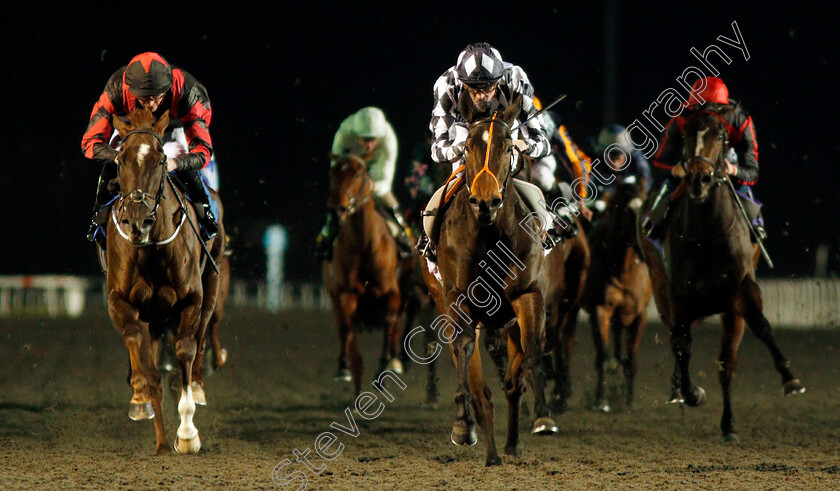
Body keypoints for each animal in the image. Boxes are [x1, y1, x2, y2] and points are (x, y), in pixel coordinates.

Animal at [102, 109, 225, 456]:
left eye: (159, 160)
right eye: (120, 160)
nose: (137, 221)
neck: (152, 247)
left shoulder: (191, 299)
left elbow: (185, 349)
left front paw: (186, 434)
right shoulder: (120, 301)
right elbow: (139, 349)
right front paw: (157, 432)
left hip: (212, 283)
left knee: (201, 335)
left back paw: (197, 384)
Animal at [322, 156, 414, 398]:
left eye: (357, 174)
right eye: (332, 172)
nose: (337, 209)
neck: (364, 244)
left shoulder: (392, 293)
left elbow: (390, 323)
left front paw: (384, 371)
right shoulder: (346, 294)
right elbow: (347, 331)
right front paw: (346, 370)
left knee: (396, 326)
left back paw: (393, 362)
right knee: (346, 332)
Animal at [420, 94, 564, 468]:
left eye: (508, 144)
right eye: (469, 145)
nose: (485, 200)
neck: (489, 236)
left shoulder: (528, 295)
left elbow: (532, 355)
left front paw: (543, 417)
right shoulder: (458, 300)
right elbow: (465, 357)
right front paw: (463, 425)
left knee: (513, 380)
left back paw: (510, 447)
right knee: (479, 384)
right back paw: (489, 450)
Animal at [580, 179, 652, 414]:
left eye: (646, 206)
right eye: (628, 211)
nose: (642, 242)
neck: (624, 270)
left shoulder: (639, 314)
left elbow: (632, 359)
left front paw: (630, 400)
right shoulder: (600, 310)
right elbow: (602, 355)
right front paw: (601, 400)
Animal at [636, 107, 808, 442]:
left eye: (719, 134)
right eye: (687, 133)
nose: (698, 177)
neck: (707, 233)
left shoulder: (741, 290)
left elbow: (758, 329)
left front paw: (789, 379)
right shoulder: (678, 295)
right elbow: (682, 344)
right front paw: (691, 392)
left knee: (723, 360)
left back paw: (726, 422)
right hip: (661, 289)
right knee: (675, 338)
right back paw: (679, 388)